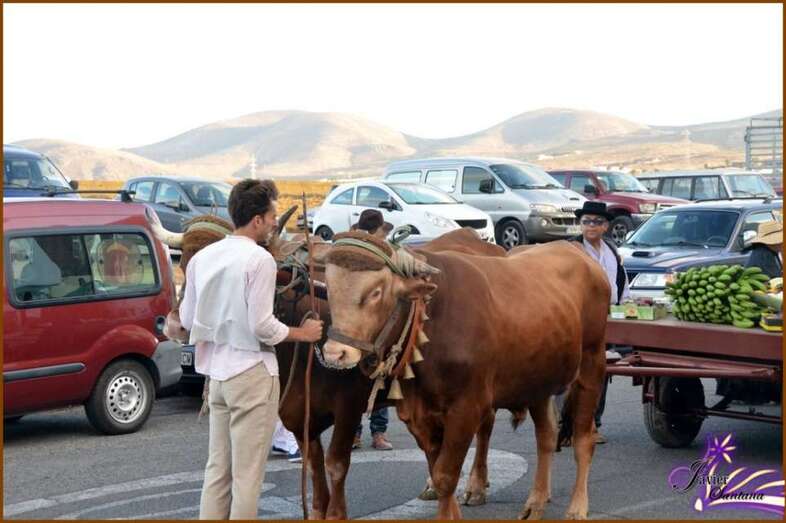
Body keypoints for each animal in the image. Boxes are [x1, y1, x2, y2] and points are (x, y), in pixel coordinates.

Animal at [153, 217, 506, 518]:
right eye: (183, 264)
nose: (176, 325)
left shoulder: (348, 406)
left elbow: (336, 463)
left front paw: (337, 513)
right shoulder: (298, 413)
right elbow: (314, 464)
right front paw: (319, 509)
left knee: (485, 425)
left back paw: (476, 486)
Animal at [320, 232, 610, 520]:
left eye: (376, 292)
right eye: (329, 289)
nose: (336, 353)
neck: (431, 322)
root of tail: (573, 248)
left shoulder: (466, 409)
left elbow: (446, 476)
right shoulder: (419, 415)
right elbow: (436, 473)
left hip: (591, 364)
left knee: (584, 439)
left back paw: (577, 508)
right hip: (538, 380)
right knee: (546, 436)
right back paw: (535, 502)